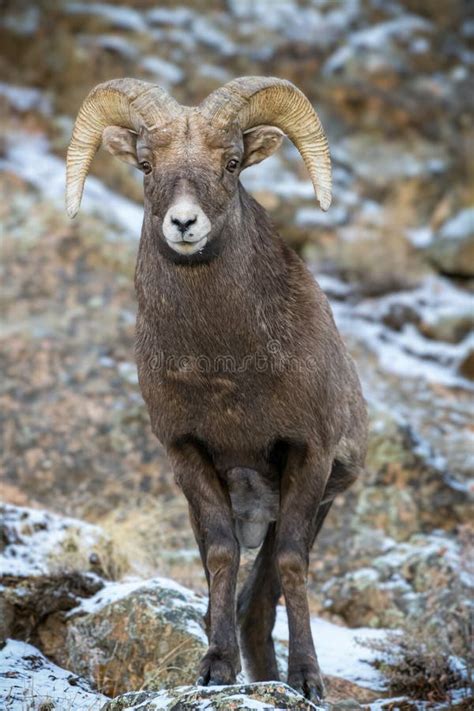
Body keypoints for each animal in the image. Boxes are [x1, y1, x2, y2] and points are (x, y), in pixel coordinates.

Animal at [66, 76, 368, 700]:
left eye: (231, 163)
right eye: (146, 164)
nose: (184, 225)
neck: (226, 371)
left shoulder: (310, 457)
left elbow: (294, 564)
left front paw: (307, 682)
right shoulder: (189, 455)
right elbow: (222, 556)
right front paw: (215, 669)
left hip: (306, 503)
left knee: (268, 590)